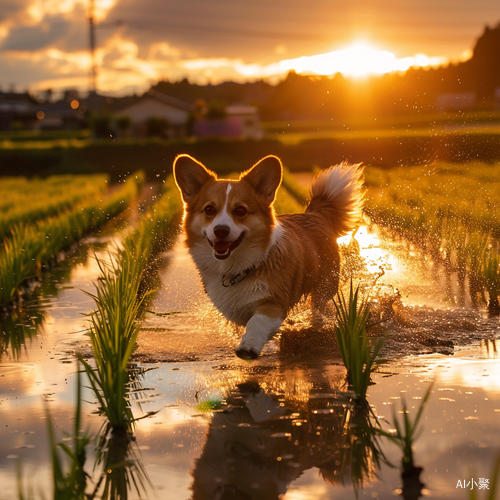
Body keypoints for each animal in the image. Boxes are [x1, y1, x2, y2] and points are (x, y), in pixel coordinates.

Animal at [173, 153, 364, 360]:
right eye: (209, 210)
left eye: (240, 210)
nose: (221, 230)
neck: (237, 268)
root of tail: (315, 214)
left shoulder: (273, 303)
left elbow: (256, 323)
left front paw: (248, 347)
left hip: (323, 288)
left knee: (318, 308)